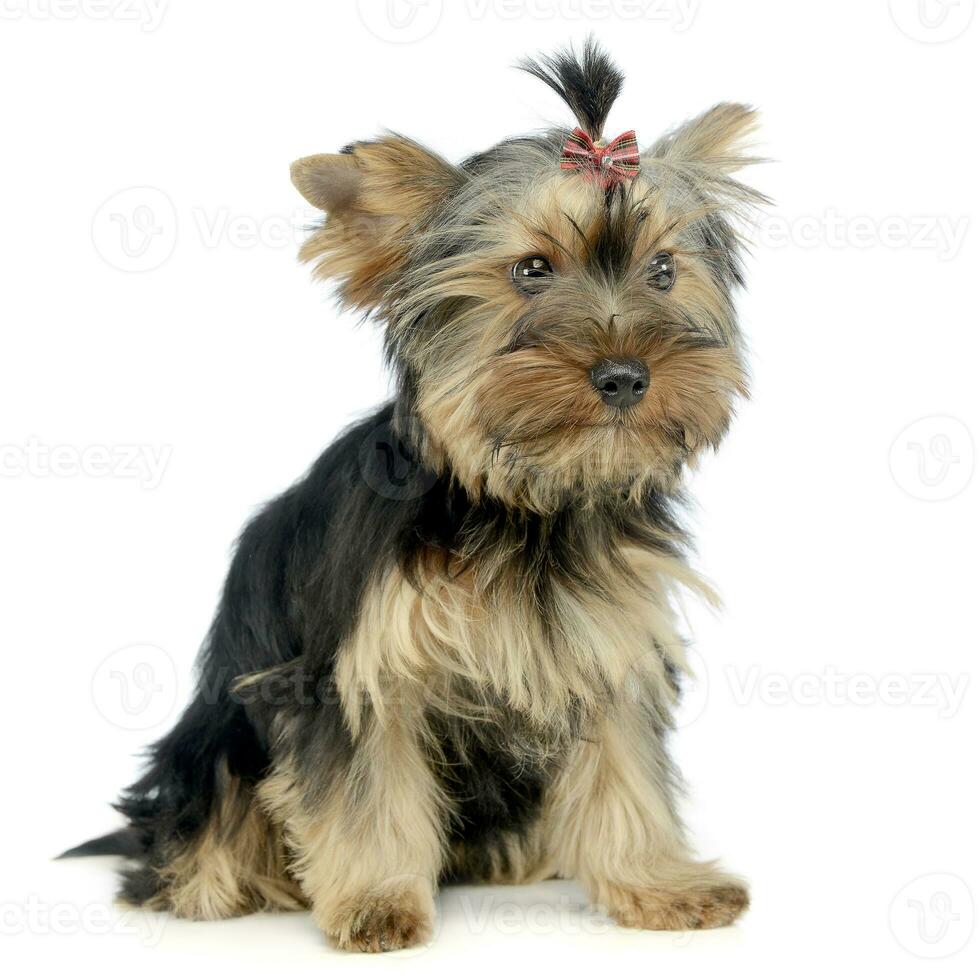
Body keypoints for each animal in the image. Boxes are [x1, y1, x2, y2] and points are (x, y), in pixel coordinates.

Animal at [65, 42, 760, 952]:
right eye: (531, 270)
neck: (519, 502)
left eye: (665, 270)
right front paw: (375, 902)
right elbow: (366, 785)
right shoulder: (356, 669)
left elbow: (627, 766)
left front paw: (658, 883)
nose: (625, 376)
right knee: (201, 818)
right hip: (214, 747)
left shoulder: (610, 644)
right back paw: (224, 879)